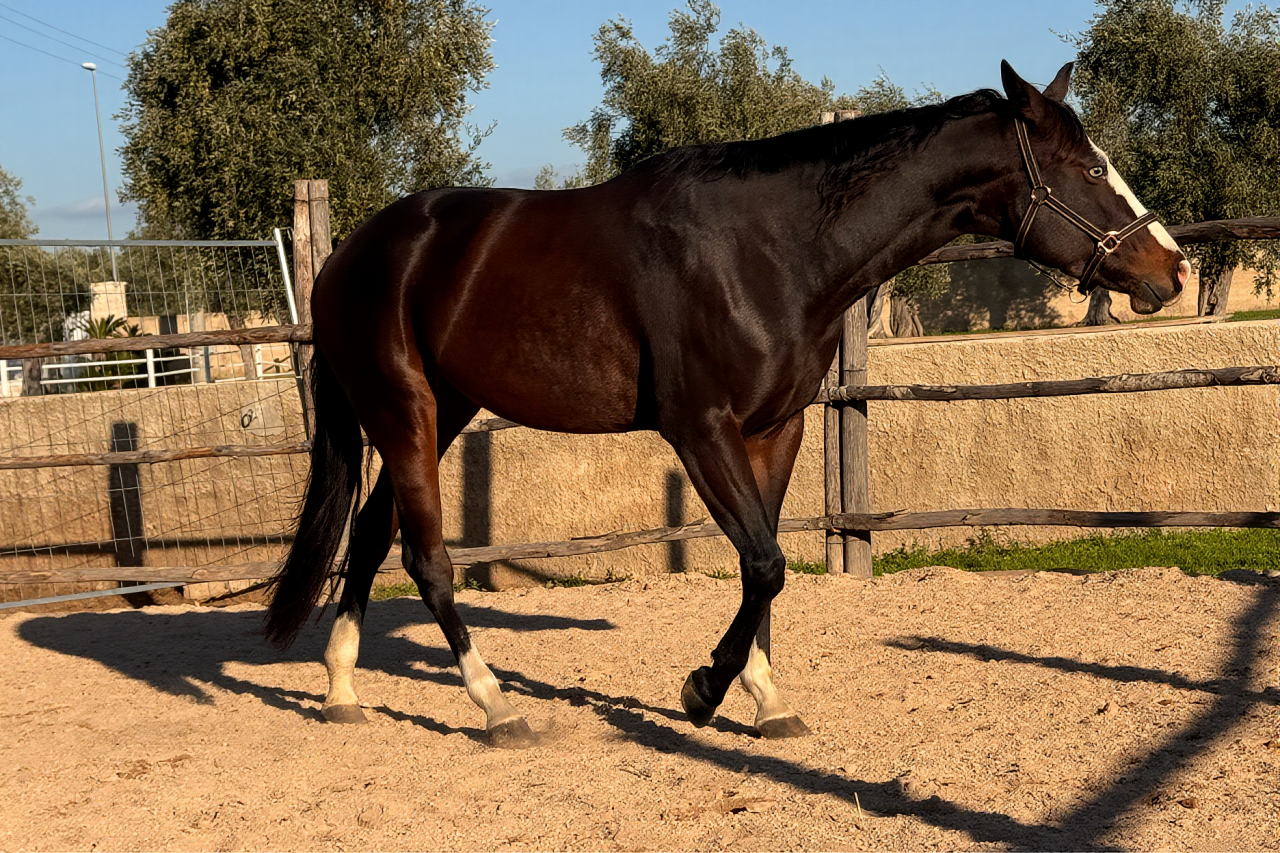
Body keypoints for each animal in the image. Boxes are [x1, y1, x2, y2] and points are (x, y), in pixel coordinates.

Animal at [264, 61, 1189, 748]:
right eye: (1090, 169)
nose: (1171, 269)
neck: (769, 248)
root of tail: (348, 254)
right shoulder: (700, 431)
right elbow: (766, 562)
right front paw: (704, 688)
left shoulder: (775, 429)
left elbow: (763, 563)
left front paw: (766, 699)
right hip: (405, 411)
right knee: (425, 558)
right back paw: (495, 704)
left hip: (439, 412)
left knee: (370, 533)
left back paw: (341, 689)